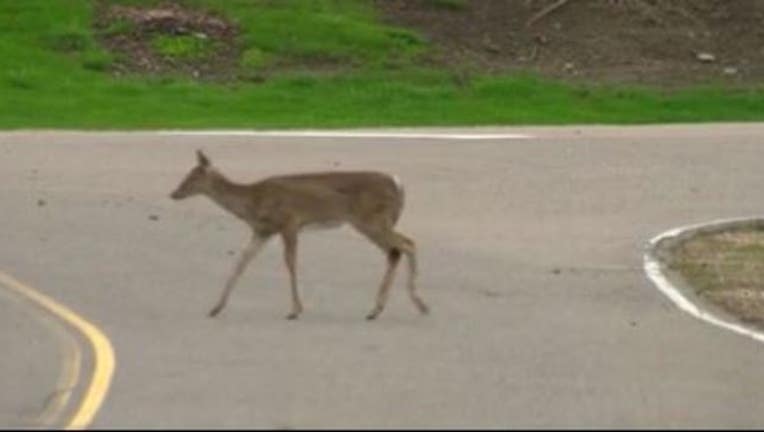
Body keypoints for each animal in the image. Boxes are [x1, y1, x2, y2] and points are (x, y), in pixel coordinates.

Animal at [169, 150, 430, 318]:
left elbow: (290, 263)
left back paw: (417, 305)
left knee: (407, 244)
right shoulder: (263, 231)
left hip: (370, 220)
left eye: (193, 177)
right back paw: (378, 308)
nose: (174, 193)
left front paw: (295, 310)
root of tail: (399, 184)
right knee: (396, 251)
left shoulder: (289, 222)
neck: (253, 201)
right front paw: (216, 307)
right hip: (374, 222)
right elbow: (241, 261)